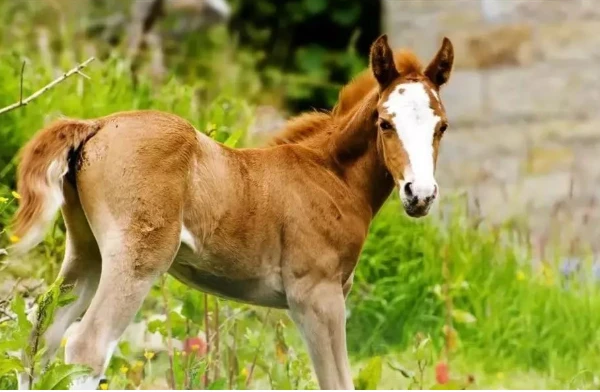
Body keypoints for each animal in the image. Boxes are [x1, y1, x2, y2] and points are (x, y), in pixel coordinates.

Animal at [11, 35, 452, 390]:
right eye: (385, 122)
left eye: (442, 126)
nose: (420, 195)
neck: (331, 174)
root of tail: (97, 125)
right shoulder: (316, 296)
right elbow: (337, 382)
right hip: (137, 258)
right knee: (87, 345)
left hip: (87, 251)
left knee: (40, 338)